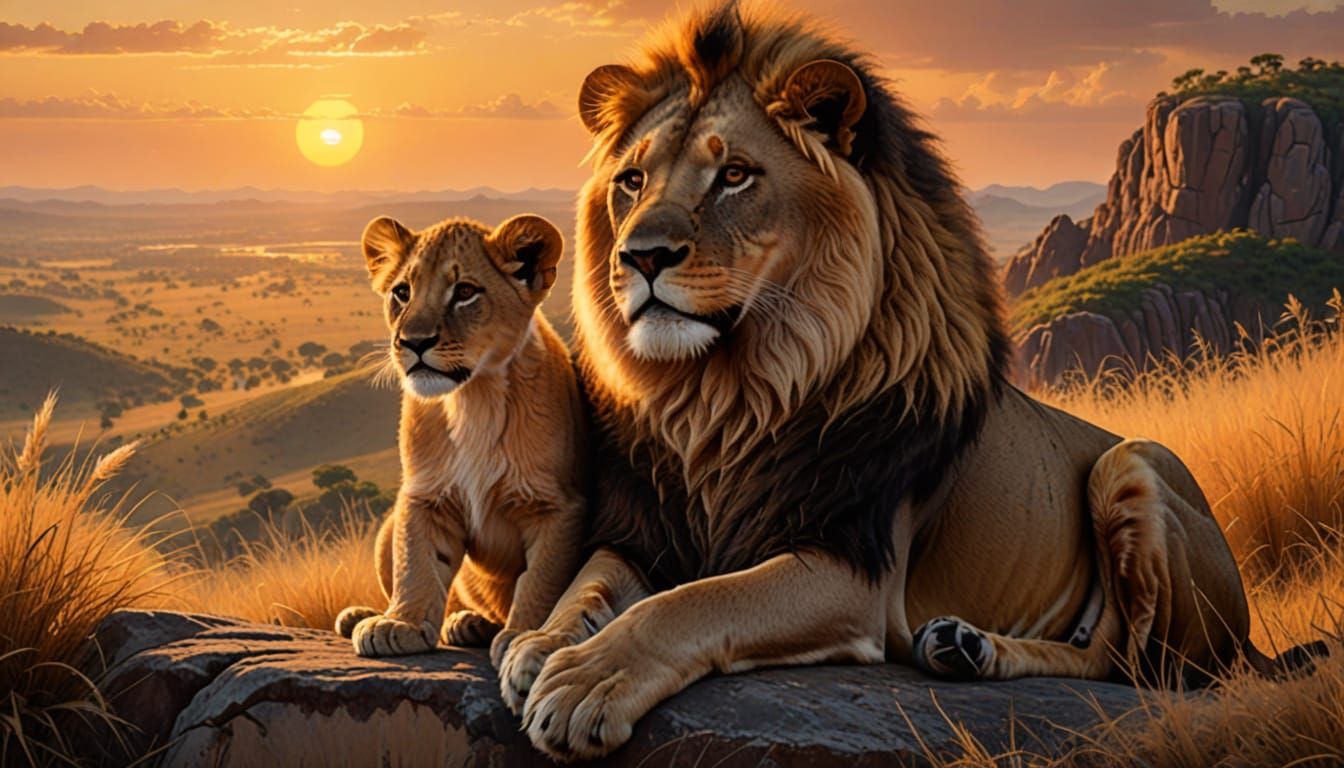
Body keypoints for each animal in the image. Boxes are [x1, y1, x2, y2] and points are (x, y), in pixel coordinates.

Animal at [334, 214, 586, 668]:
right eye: (402, 292)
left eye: (465, 292)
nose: (413, 342)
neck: (473, 398)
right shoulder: (424, 495)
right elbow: (416, 563)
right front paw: (400, 624)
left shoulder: (558, 506)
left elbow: (542, 579)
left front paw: (526, 634)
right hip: (384, 530)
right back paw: (371, 616)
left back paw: (474, 625)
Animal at [487, 3, 1329, 761]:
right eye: (631, 180)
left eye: (734, 176)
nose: (639, 257)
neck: (723, 397)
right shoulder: (649, 534)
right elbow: (591, 584)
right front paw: (536, 644)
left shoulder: (852, 569)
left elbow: (689, 605)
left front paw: (586, 682)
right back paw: (960, 645)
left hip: (1134, 466)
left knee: (1131, 665)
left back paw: (976, 647)